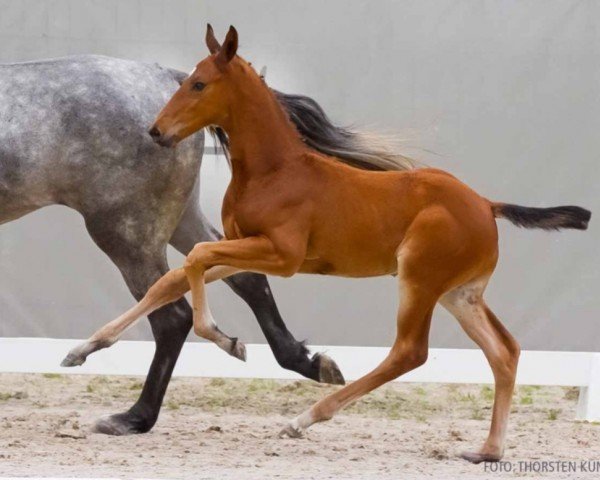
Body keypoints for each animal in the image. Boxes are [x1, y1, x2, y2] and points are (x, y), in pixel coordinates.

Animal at [0, 53, 408, 436]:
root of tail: (167, 78)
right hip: (178, 220)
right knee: (241, 278)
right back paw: (303, 361)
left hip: (127, 231)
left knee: (172, 316)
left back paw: (134, 417)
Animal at [69, 26, 592, 462]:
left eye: (198, 84)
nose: (156, 131)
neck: (276, 171)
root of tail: (486, 204)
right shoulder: (244, 245)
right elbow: (176, 279)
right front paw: (84, 348)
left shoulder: (282, 255)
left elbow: (195, 261)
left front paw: (225, 339)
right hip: (460, 294)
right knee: (504, 351)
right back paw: (487, 451)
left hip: (419, 280)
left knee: (410, 352)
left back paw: (303, 419)